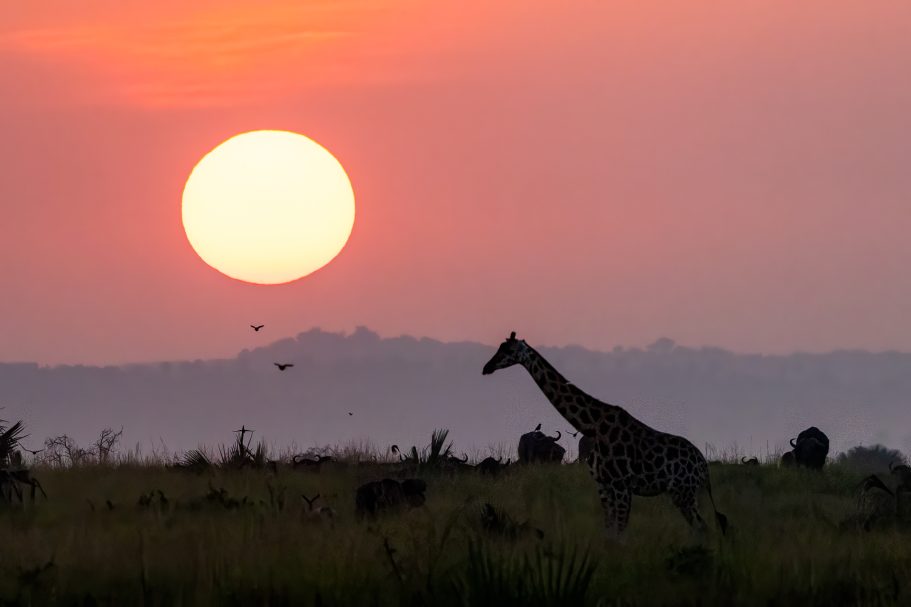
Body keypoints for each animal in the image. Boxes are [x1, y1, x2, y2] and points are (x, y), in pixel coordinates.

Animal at [482, 332, 727, 537]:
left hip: (683, 493)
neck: (593, 425)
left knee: (703, 528)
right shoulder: (603, 485)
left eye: (507, 350)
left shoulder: (621, 486)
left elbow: (619, 534)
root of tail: (703, 468)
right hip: (688, 493)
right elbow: (609, 532)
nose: (486, 367)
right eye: (499, 347)